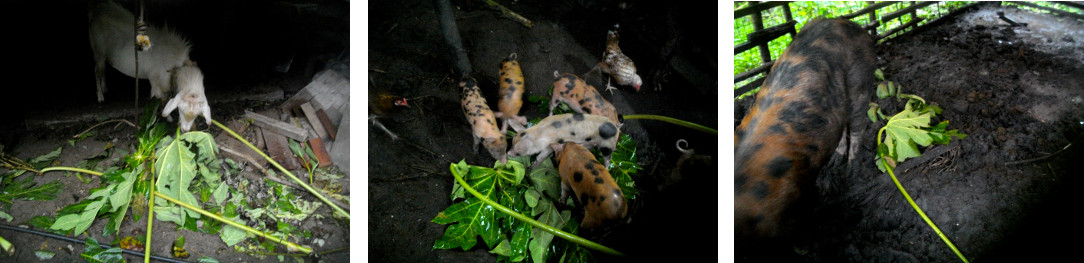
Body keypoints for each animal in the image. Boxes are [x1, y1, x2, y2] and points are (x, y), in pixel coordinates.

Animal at [88, 0, 209, 130]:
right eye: (181, 109)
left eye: (197, 114)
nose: (185, 130)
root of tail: (97, 10)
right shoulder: (155, 80)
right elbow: (160, 99)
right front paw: (168, 118)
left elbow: (165, 98)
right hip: (98, 52)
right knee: (97, 71)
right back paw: (100, 96)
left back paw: (105, 88)